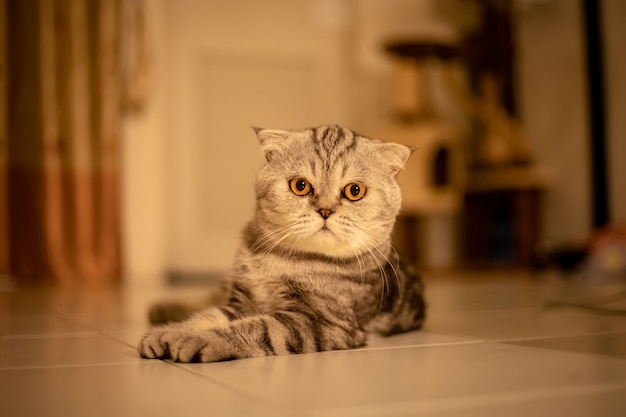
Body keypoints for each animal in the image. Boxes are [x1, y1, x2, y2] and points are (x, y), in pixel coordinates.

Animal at [137, 124, 424, 360]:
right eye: (300, 185)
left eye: (355, 191)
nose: (325, 210)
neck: (281, 260)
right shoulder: (241, 301)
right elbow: (208, 315)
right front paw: (170, 333)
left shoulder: (320, 323)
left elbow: (255, 327)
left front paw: (197, 340)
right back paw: (161, 311)